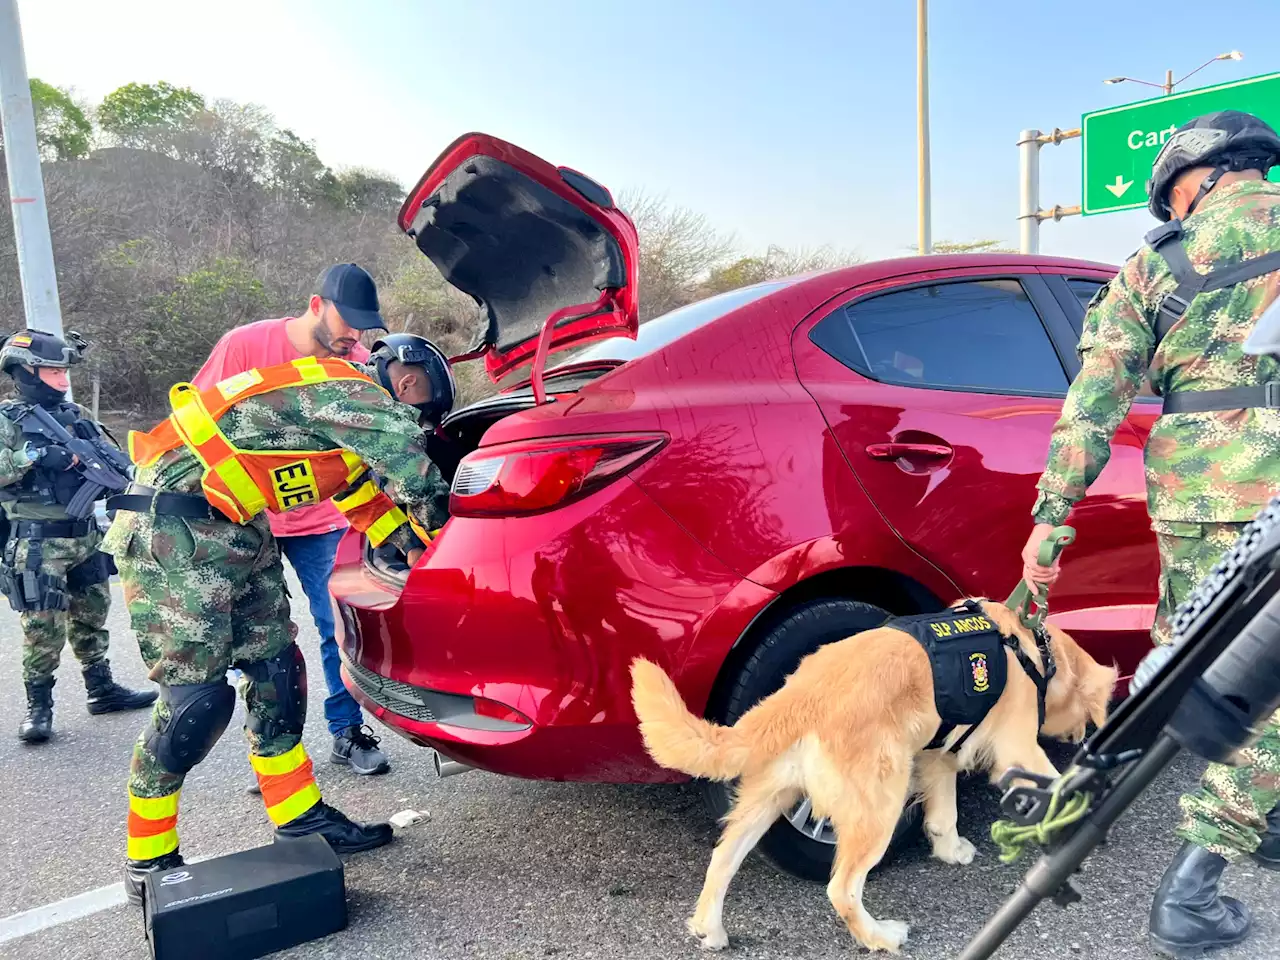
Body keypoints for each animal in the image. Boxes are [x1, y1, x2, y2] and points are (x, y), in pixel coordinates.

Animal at [629, 601, 1121, 957]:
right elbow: (1054, 780)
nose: (1085, 736)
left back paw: (709, 929)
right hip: (879, 801)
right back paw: (880, 936)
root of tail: (800, 694)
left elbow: (943, 814)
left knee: (722, 859)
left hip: (769, 797)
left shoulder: (940, 753)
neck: (1031, 652)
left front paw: (950, 849)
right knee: (842, 888)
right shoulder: (1019, 748)